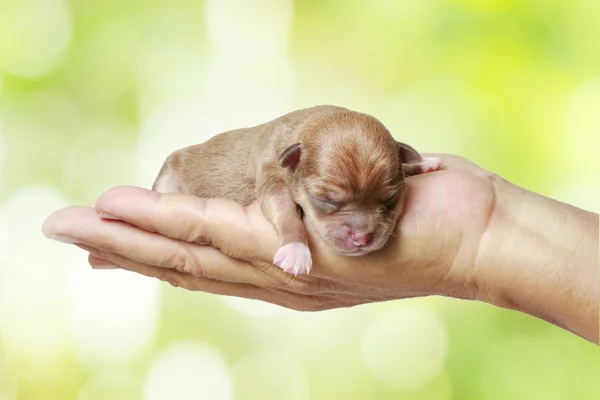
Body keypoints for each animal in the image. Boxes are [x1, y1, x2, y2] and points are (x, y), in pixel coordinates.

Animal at [43, 153, 600, 344]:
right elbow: (284, 213)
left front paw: (424, 162)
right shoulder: (273, 181)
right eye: (329, 202)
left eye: (390, 201)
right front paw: (296, 248)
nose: (361, 237)